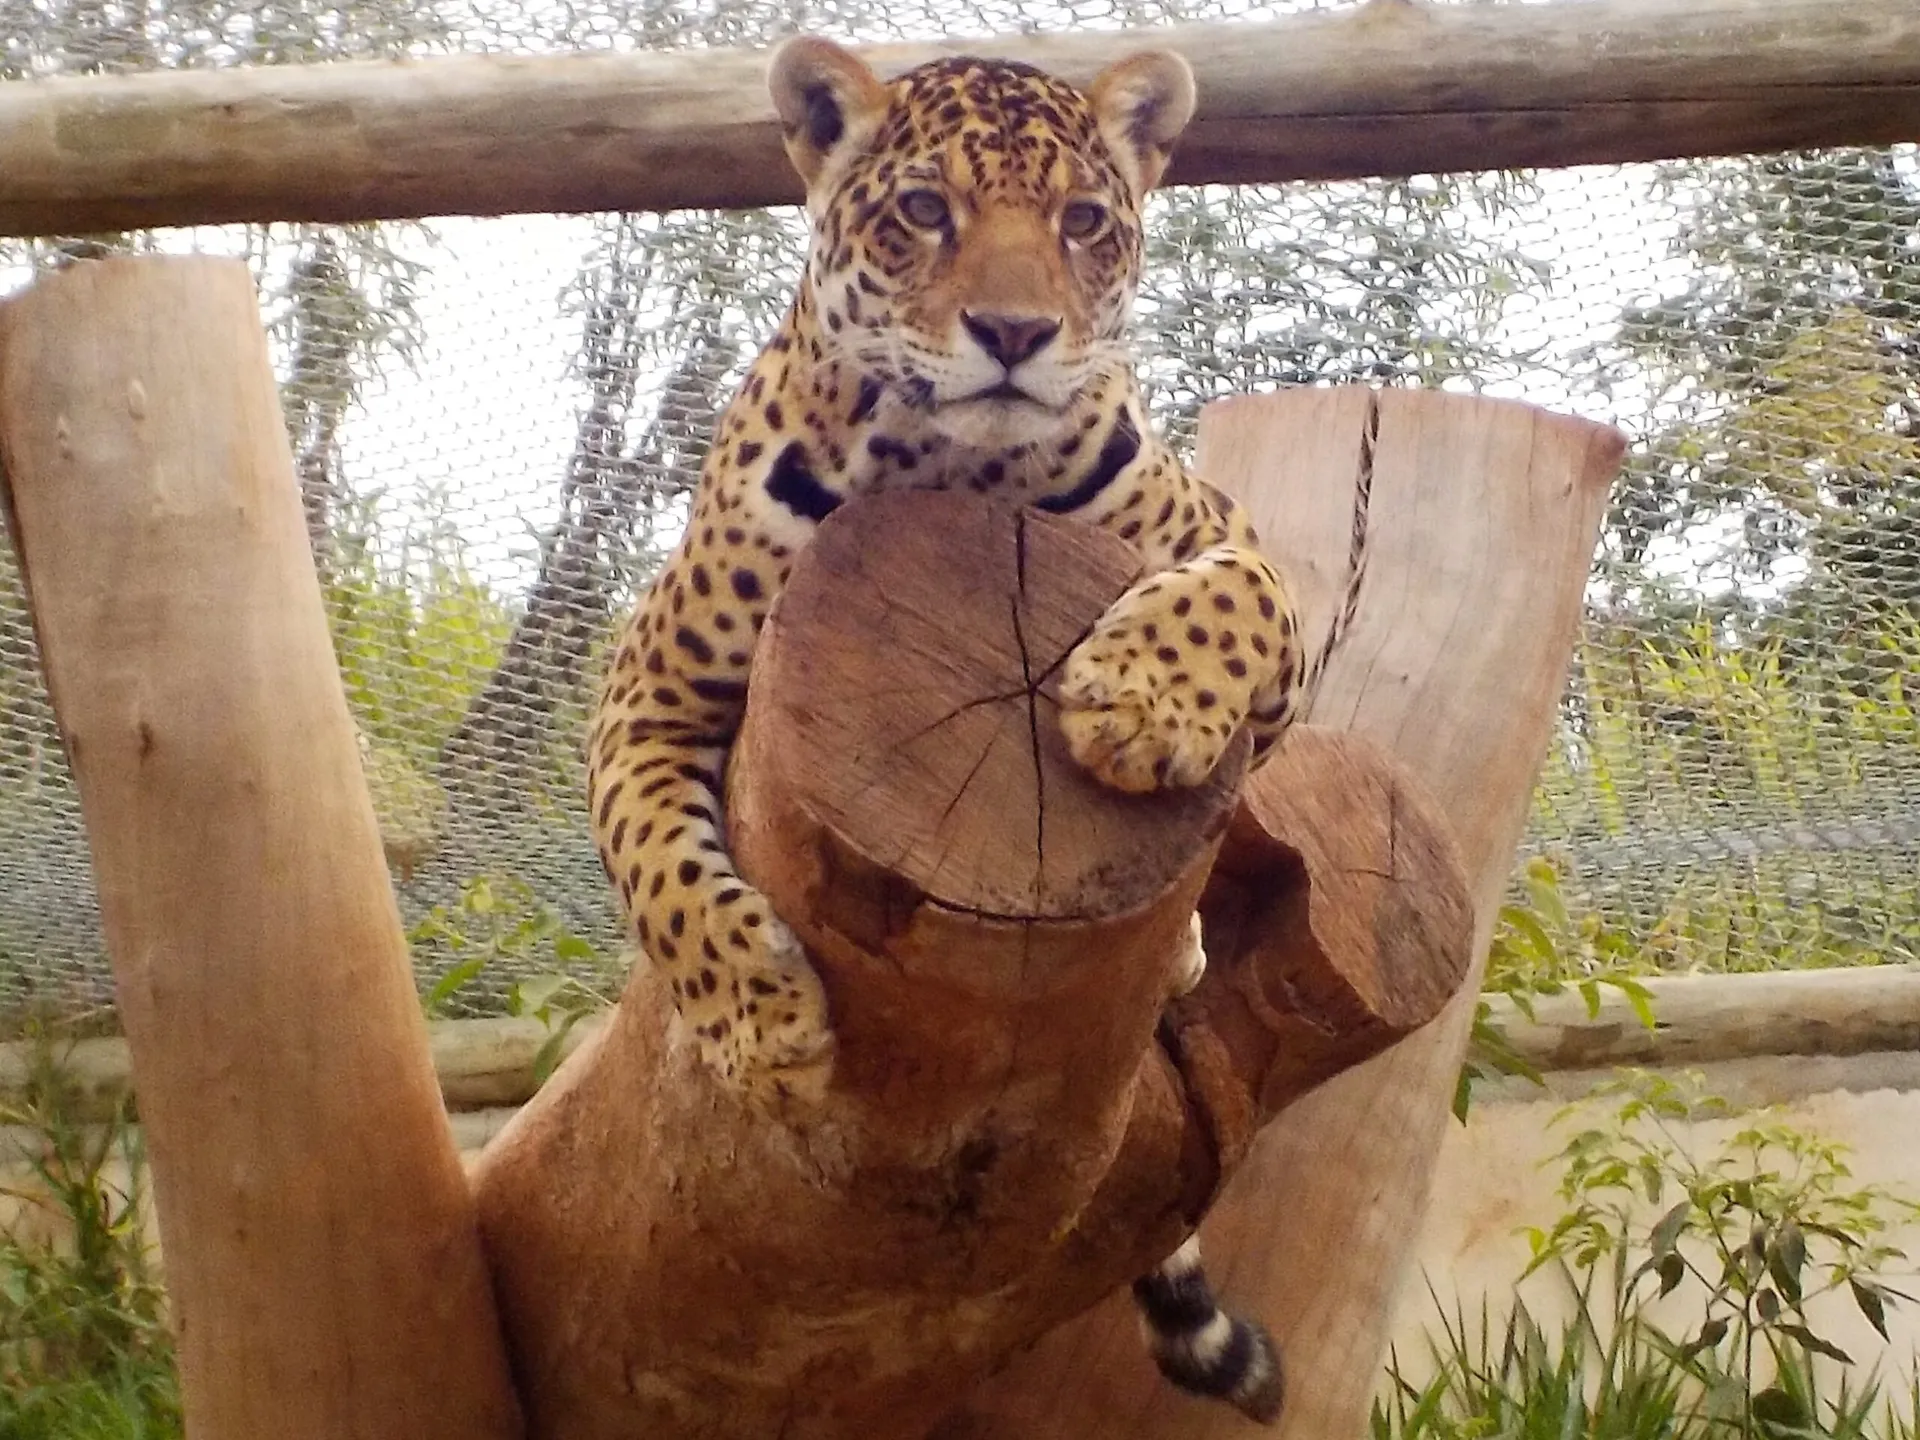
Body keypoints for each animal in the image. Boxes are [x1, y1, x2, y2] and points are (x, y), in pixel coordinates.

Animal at [585, 34, 1370, 1424]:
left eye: (1083, 224)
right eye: (923, 211)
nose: (1015, 333)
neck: (953, 473)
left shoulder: (1236, 552)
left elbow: (1244, 594)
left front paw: (1140, 700)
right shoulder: (647, 693)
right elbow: (661, 874)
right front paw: (763, 1029)